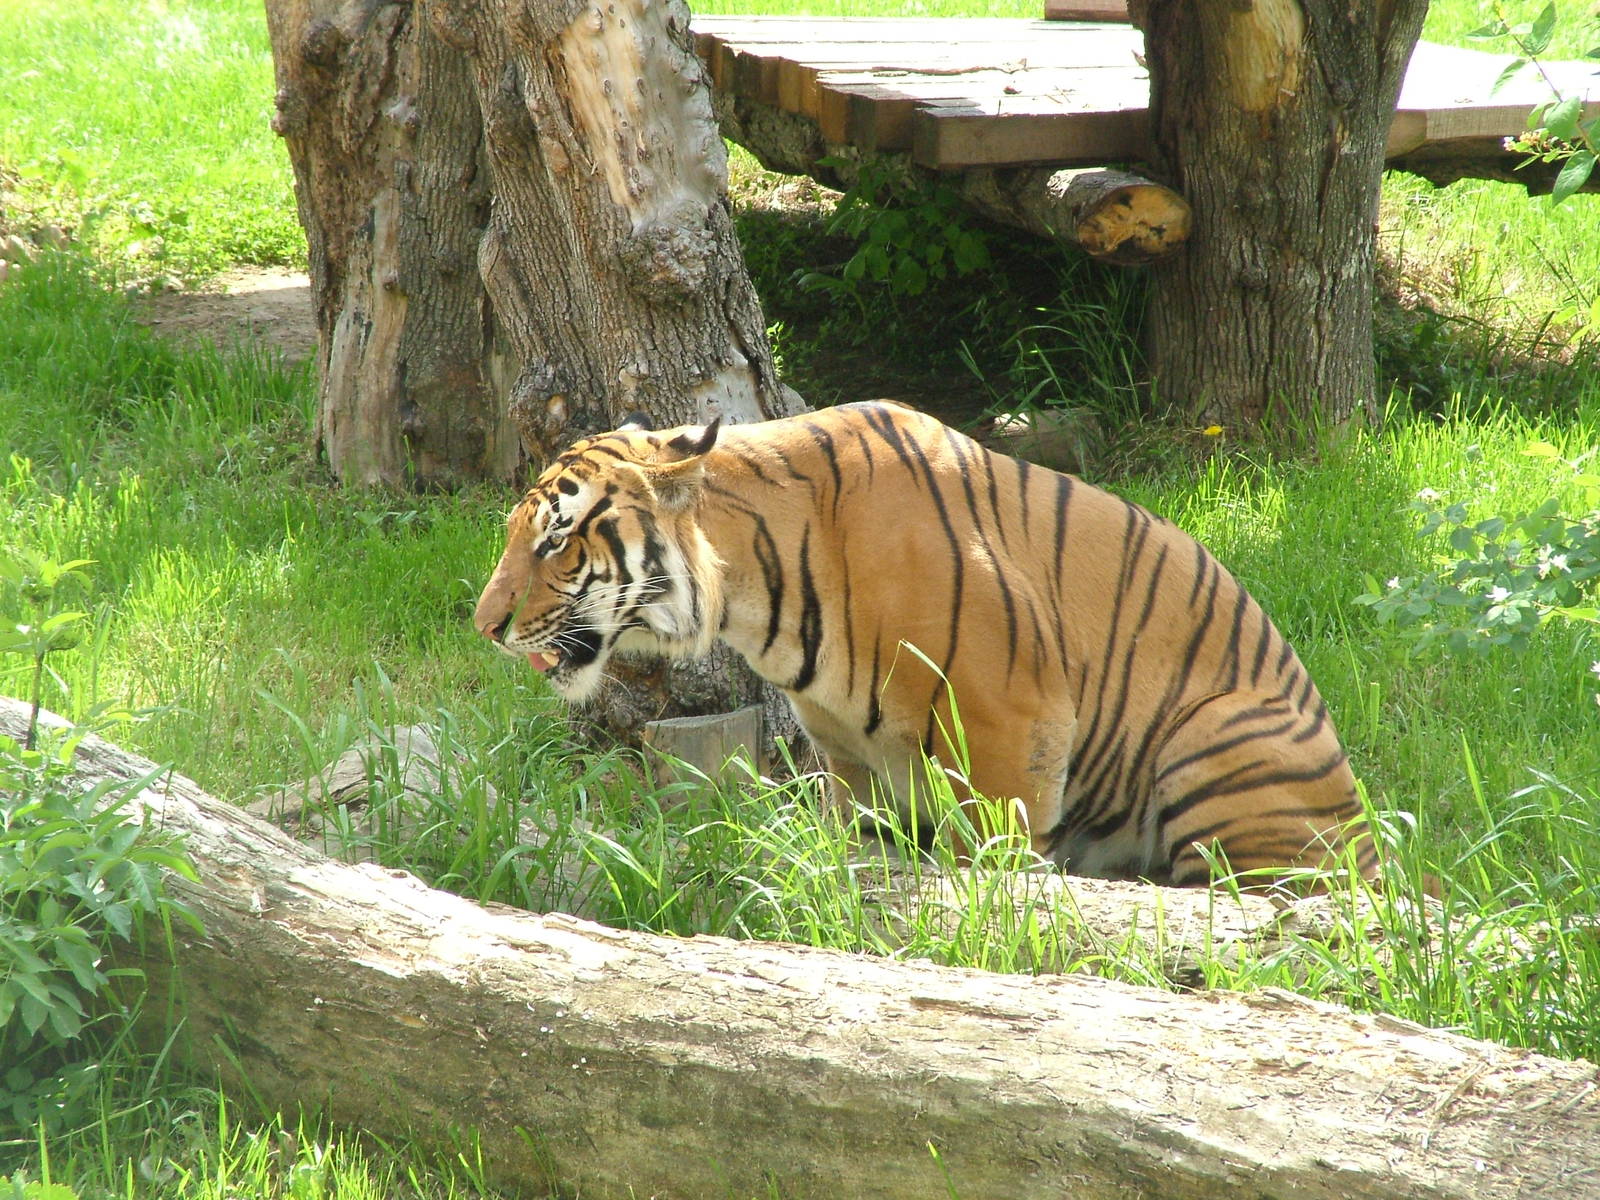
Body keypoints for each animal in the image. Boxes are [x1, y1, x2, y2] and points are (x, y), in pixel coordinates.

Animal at [474, 400, 1376, 887]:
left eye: (555, 542)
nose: (486, 627)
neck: (757, 601)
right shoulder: (856, 766)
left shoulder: (1012, 729)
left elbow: (989, 869)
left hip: (1216, 735)